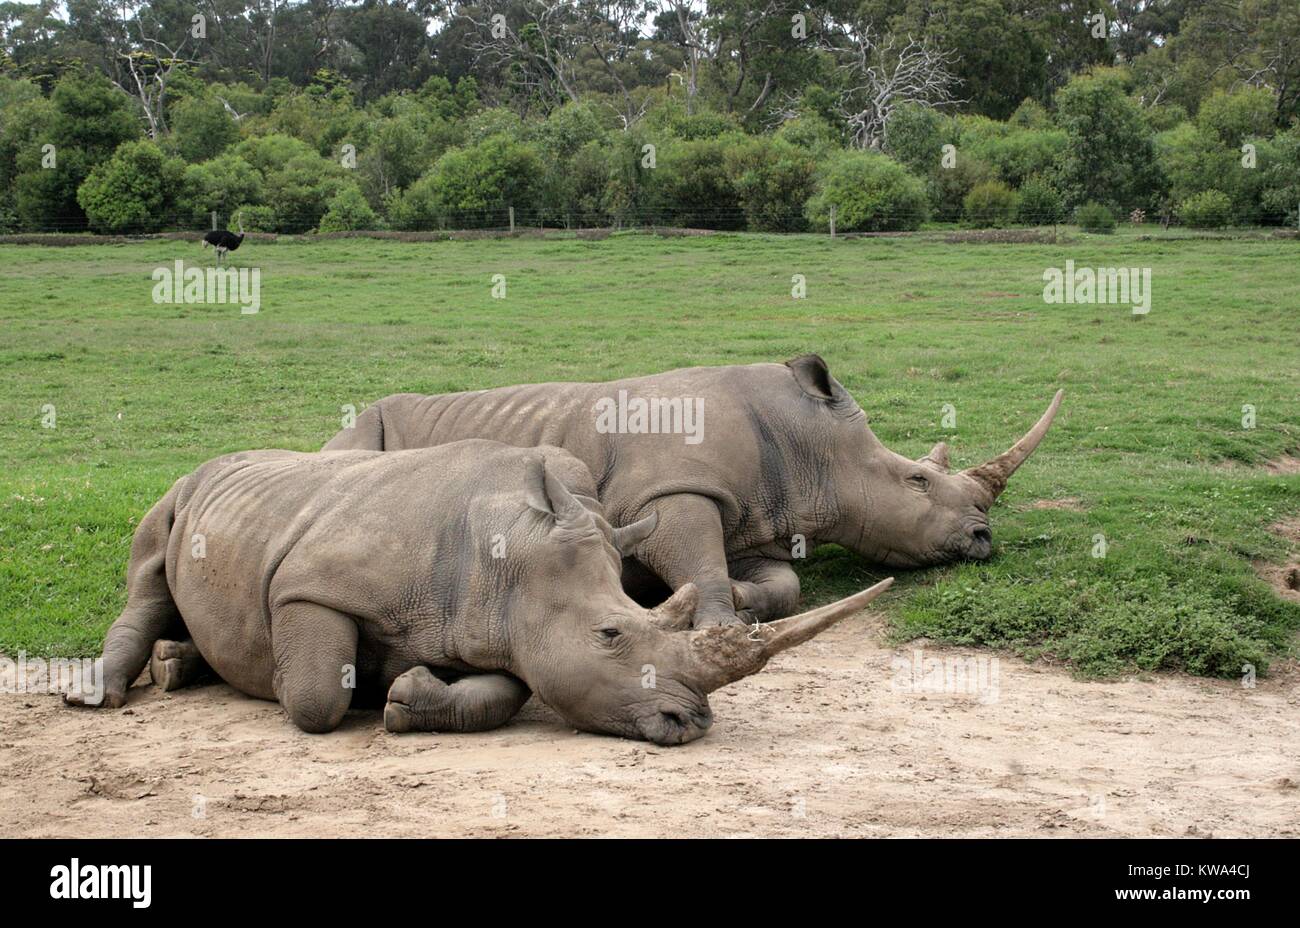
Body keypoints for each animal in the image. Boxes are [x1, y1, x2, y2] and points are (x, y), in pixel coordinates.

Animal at [63, 436, 894, 743]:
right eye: (611, 635)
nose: (688, 723)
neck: (511, 558)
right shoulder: (308, 588)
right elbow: (316, 695)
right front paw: (351, 693)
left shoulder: (489, 624)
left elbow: (505, 692)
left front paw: (403, 696)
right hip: (182, 492)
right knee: (147, 574)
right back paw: (95, 695)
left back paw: (177, 668)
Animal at [325, 350, 1066, 626]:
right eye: (917, 480)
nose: (983, 538)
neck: (812, 448)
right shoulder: (668, 494)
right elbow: (697, 559)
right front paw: (712, 619)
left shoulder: (758, 520)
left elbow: (779, 585)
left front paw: (725, 599)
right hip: (362, 435)